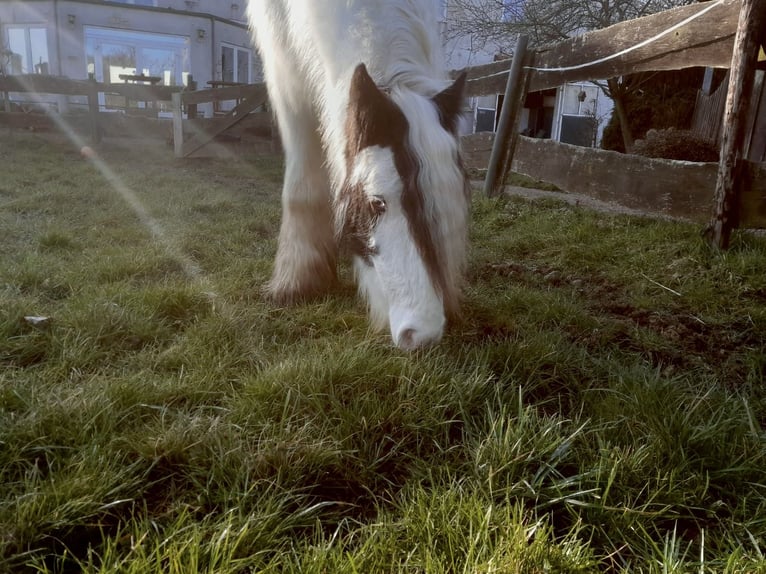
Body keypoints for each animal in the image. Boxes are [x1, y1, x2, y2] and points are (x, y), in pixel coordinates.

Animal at [249, 0, 472, 352]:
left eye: (453, 201)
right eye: (377, 203)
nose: (423, 335)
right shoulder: (284, 71)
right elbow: (301, 186)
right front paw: (296, 282)